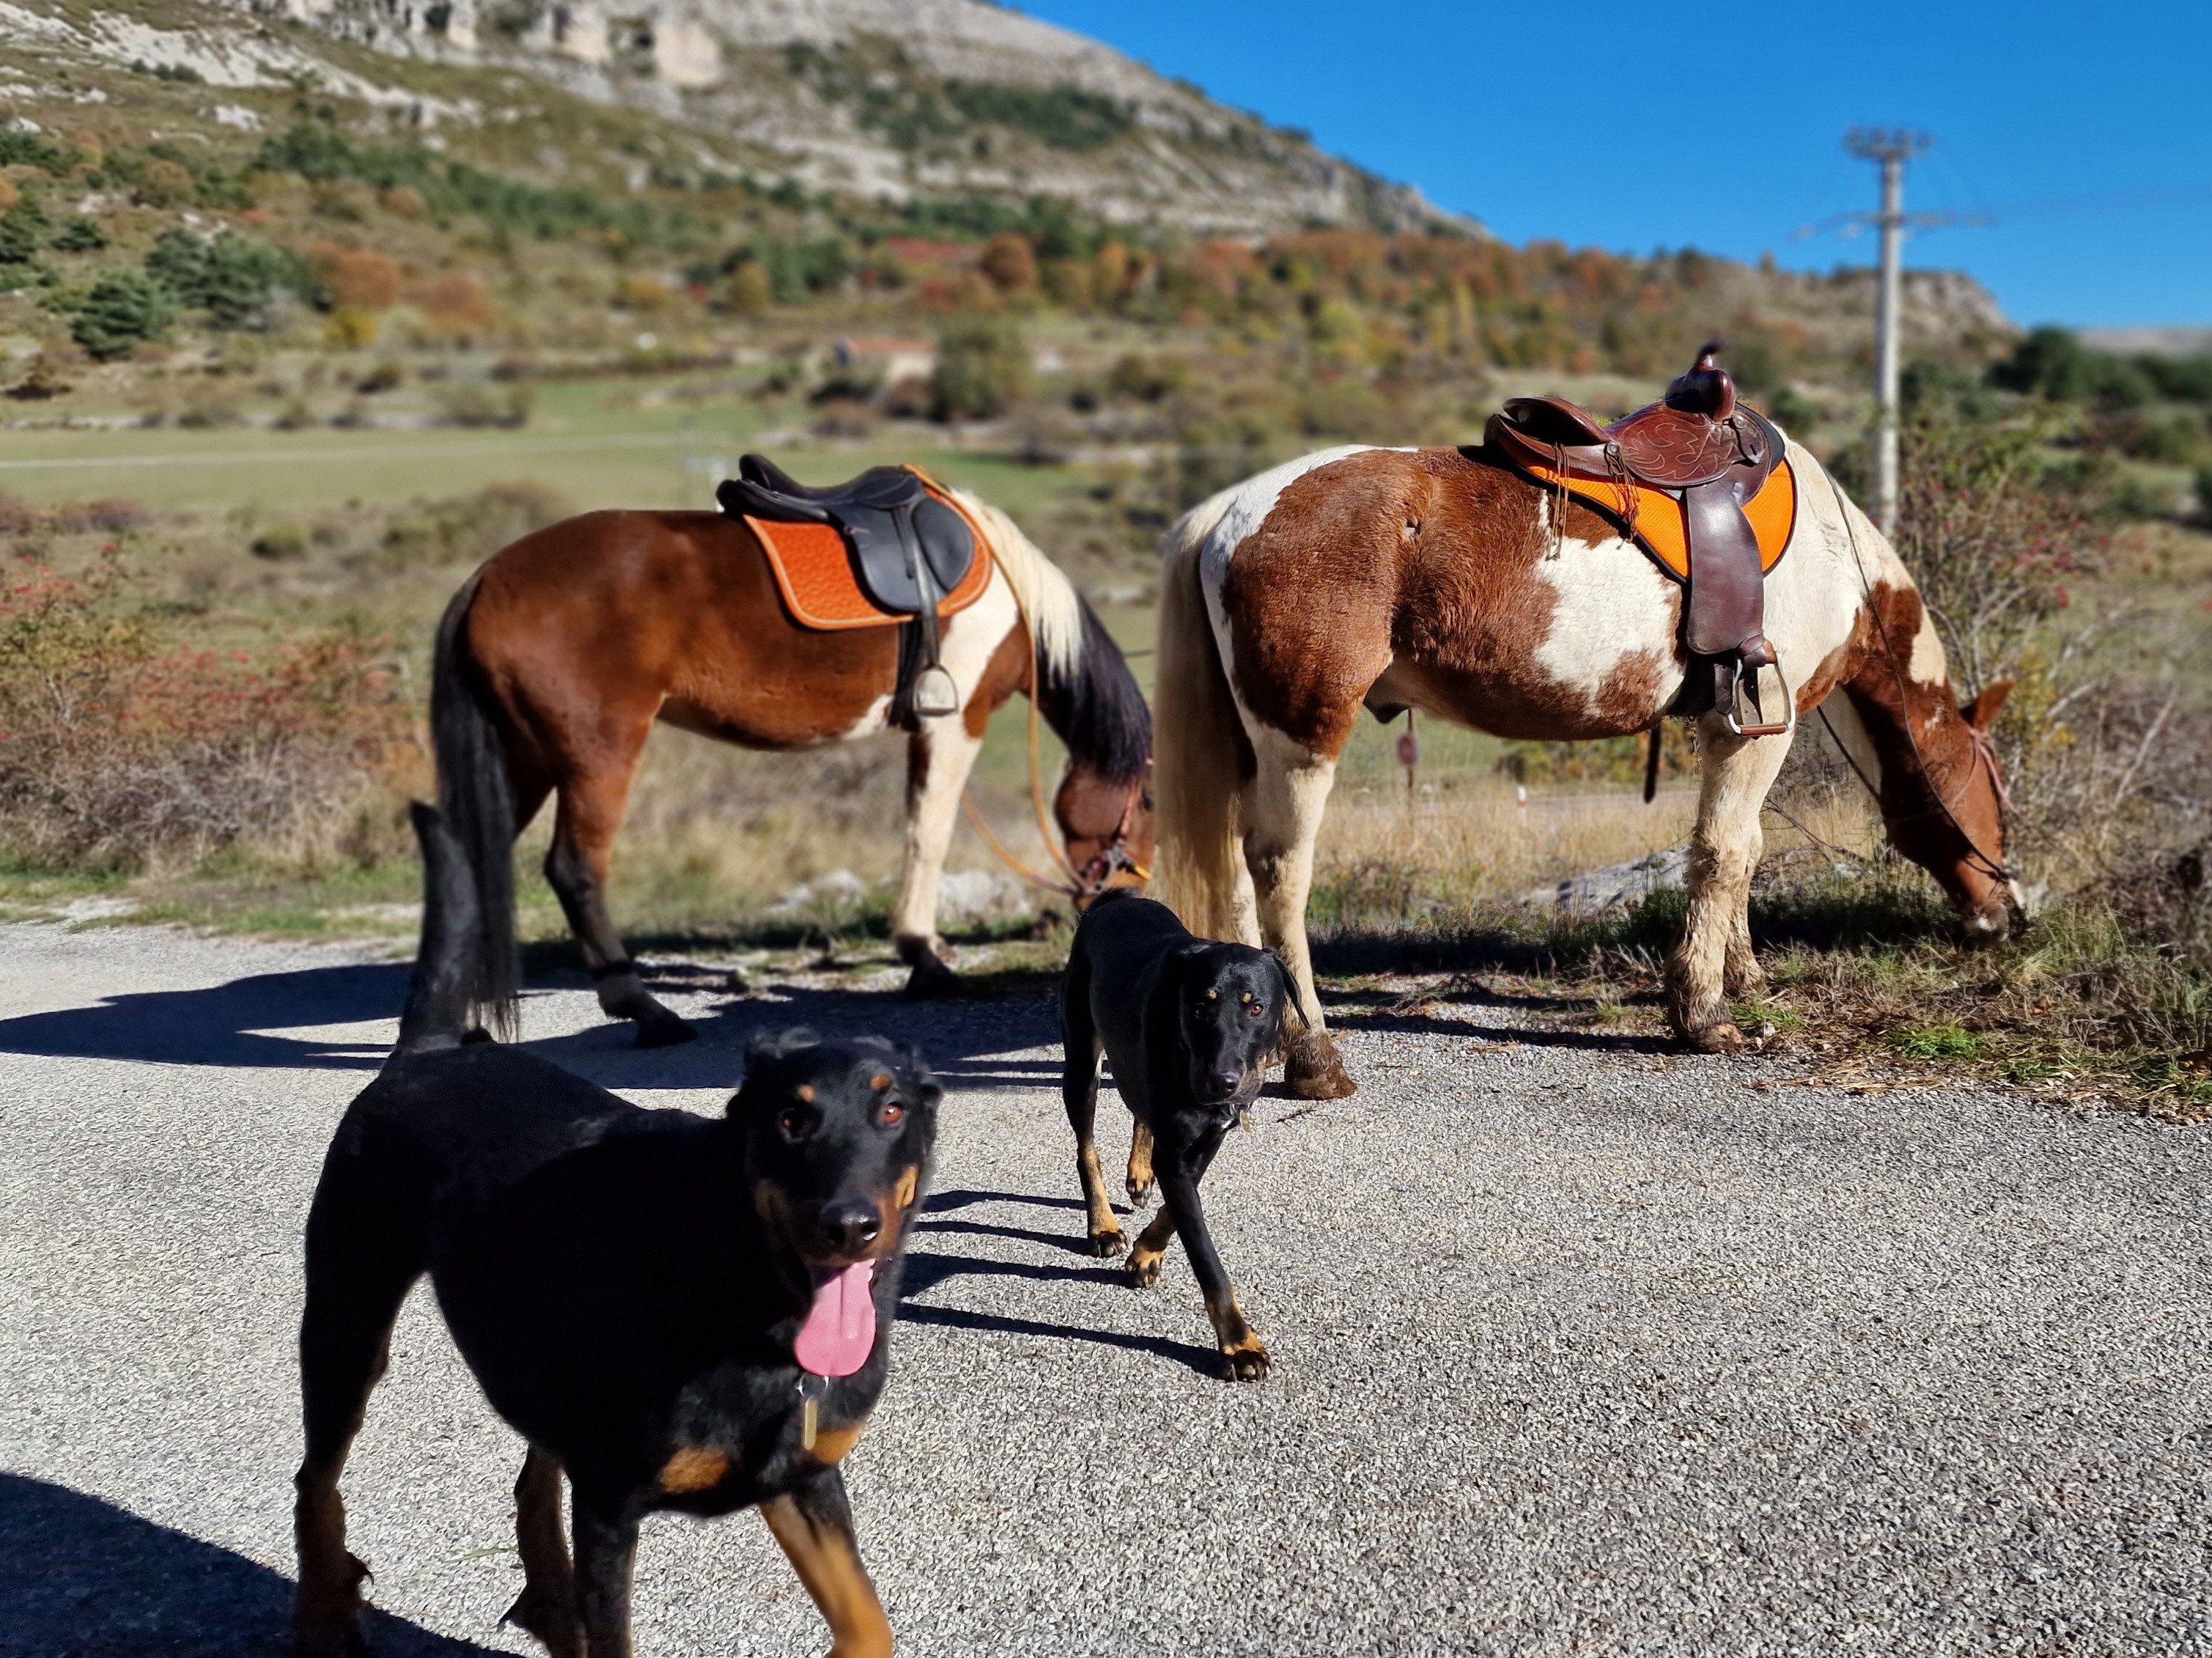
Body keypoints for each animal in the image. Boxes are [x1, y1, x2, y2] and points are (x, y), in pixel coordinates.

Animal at [293, 805, 939, 1658]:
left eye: (891, 1108)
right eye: (789, 1119)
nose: (848, 1227)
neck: (742, 1276)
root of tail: (424, 1054)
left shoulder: (801, 1480)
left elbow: (869, 1627)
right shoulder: (610, 1507)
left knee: (532, 1474)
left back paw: (546, 1603)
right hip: (347, 1318)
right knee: (315, 1481)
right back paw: (324, 1619)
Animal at [428, 487, 1152, 1045]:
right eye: (1147, 802)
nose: (1125, 895)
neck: (1010, 590)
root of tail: (485, 581)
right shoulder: (958, 719)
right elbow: (929, 833)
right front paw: (924, 957)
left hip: (523, 758)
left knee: (470, 862)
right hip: (596, 756)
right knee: (575, 870)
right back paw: (644, 1010)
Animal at [1059, 890, 1299, 1381]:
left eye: (1256, 1007)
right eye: (1200, 1007)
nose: (1222, 1083)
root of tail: (1109, 903)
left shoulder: (1209, 1137)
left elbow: (1175, 1208)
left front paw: (1147, 1252)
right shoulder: (1177, 1151)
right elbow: (1206, 1256)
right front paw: (1239, 1344)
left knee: (1140, 1111)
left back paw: (1138, 1176)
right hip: (1082, 1065)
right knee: (1087, 1148)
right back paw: (1102, 1224)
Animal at [1149, 439, 2017, 1098]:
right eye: (1999, 797)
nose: (2006, 915)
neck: (1830, 557)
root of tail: (1230, 512)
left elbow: (1745, 855)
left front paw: (1743, 975)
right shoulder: (1753, 730)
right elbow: (1725, 853)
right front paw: (1703, 1012)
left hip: (1251, 747)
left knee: (1235, 874)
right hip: (1303, 736)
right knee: (1280, 872)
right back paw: (1314, 1057)